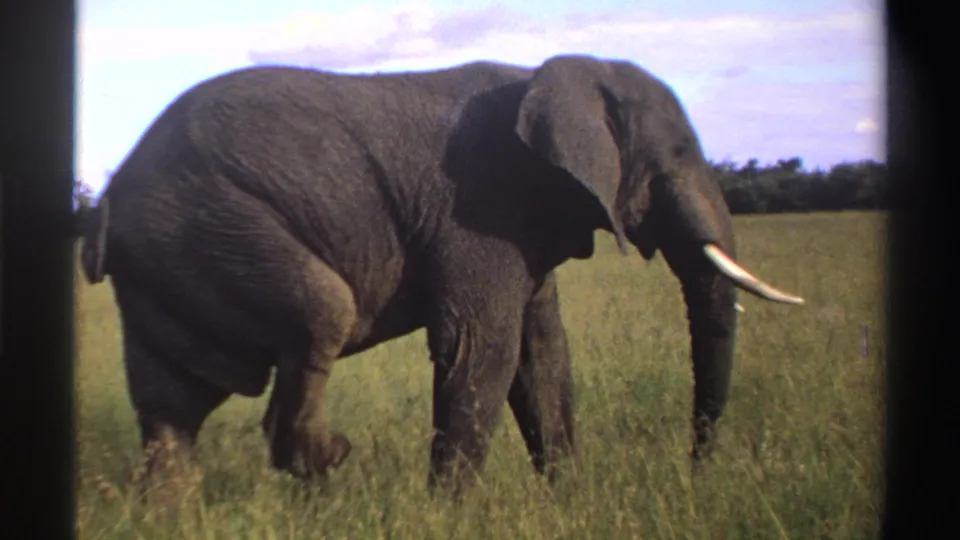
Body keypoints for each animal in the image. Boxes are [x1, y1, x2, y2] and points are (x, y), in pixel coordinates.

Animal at [79, 54, 804, 496]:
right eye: (678, 153)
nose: (698, 471)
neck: (554, 74)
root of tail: (109, 199)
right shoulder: (478, 207)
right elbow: (483, 349)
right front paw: (451, 513)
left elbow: (544, 357)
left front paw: (570, 498)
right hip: (213, 226)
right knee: (323, 310)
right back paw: (330, 459)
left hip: (168, 259)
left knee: (168, 410)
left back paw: (177, 513)